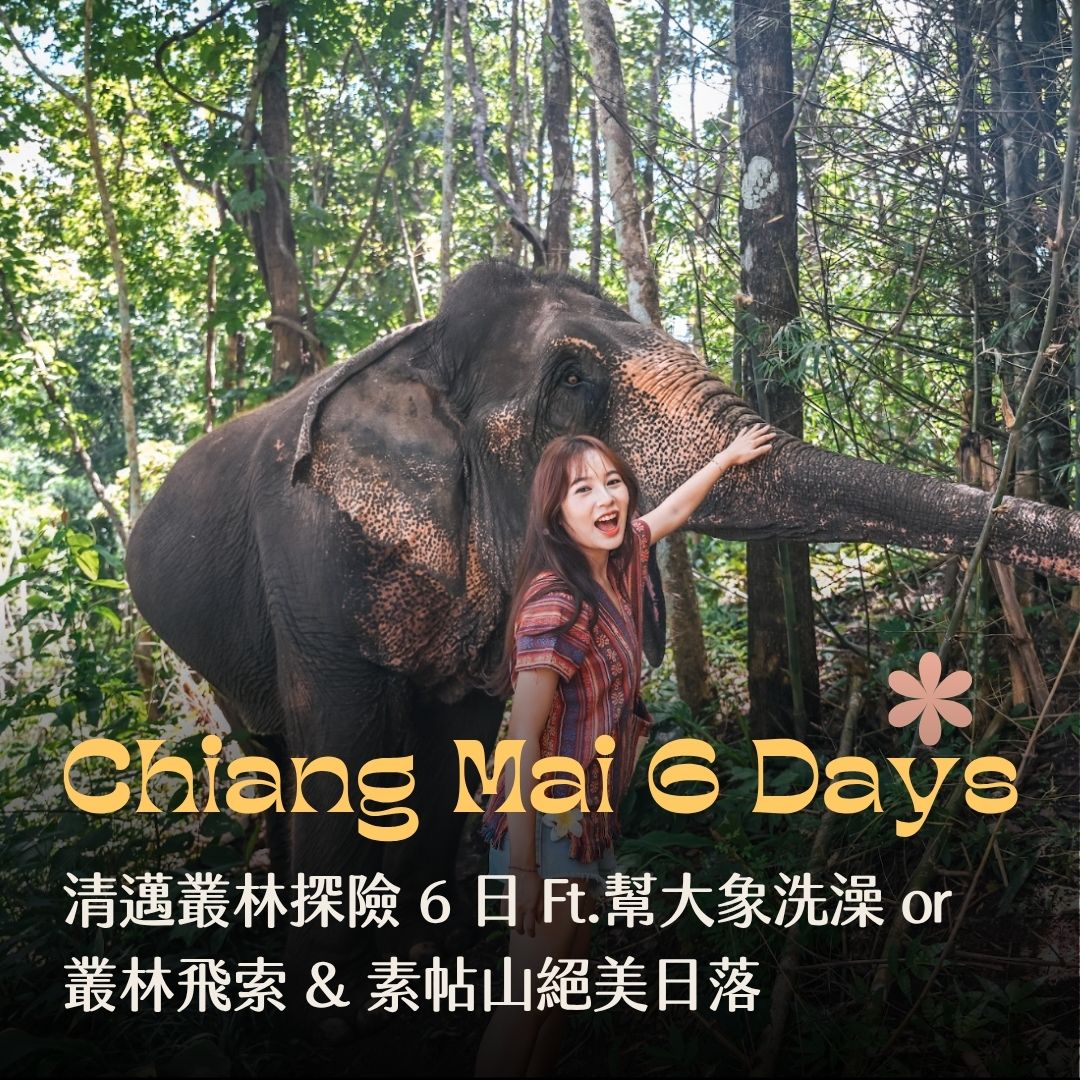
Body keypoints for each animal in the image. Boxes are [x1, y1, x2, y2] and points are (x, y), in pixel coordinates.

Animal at [125, 259, 1080, 990]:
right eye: (572, 382)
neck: (425, 353)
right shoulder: (314, 563)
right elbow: (346, 760)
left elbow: (452, 749)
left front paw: (427, 952)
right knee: (271, 753)